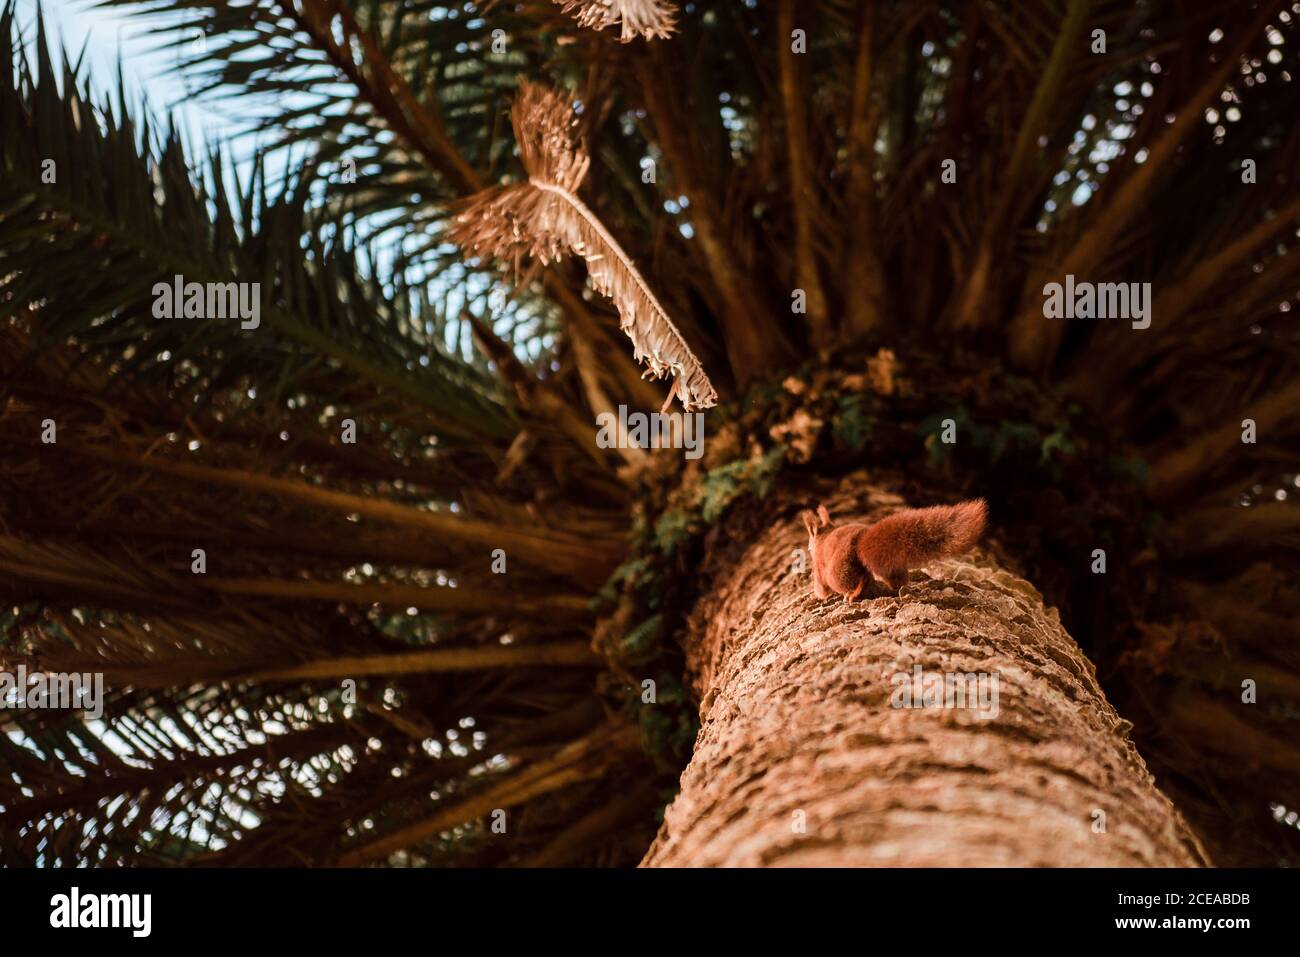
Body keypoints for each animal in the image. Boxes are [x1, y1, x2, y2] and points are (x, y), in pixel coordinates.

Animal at [800, 499, 987, 602]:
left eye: (809, 544)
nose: (808, 548)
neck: (823, 538)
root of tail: (860, 541)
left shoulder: (819, 570)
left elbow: (821, 589)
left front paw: (816, 595)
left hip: (837, 572)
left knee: (856, 580)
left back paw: (852, 595)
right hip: (890, 566)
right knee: (891, 579)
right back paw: (895, 588)